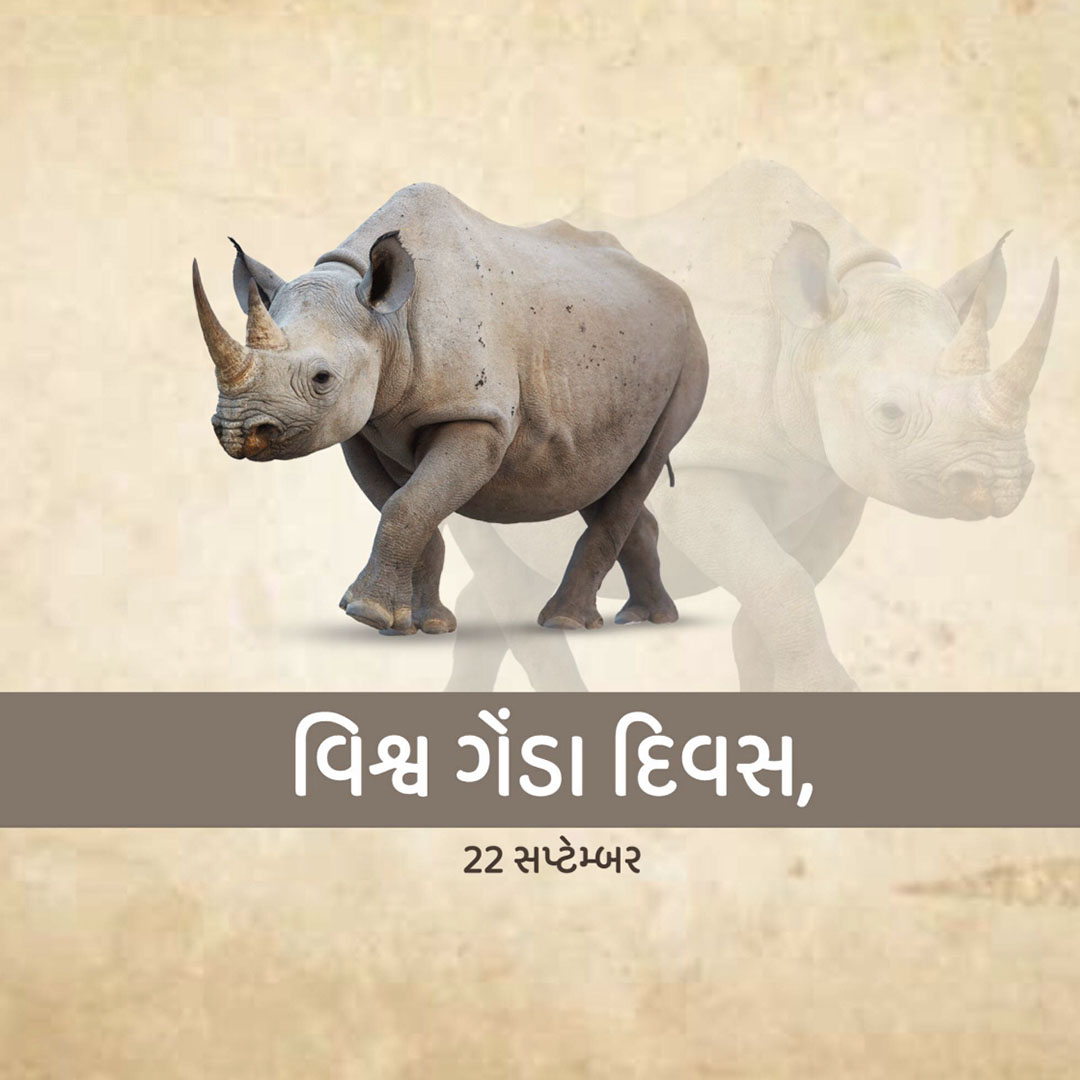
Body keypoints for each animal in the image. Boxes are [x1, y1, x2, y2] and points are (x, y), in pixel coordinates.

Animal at [192, 183, 708, 635]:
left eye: (322, 379)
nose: (237, 430)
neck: (387, 319)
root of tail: (673, 289)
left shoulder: (479, 416)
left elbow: (407, 505)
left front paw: (365, 613)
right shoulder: (362, 427)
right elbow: (407, 506)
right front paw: (420, 624)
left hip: (689, 354)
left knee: (643, 464)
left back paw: (565, 621)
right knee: (598, 475)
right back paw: (645, 618)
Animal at [453, 161, 1060, 691]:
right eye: (889, 414)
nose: (1001, 481)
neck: (806, 334)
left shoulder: (835, 477)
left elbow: (783, 584)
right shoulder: (699, 466)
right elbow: (780, 579)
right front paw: (828, 690)